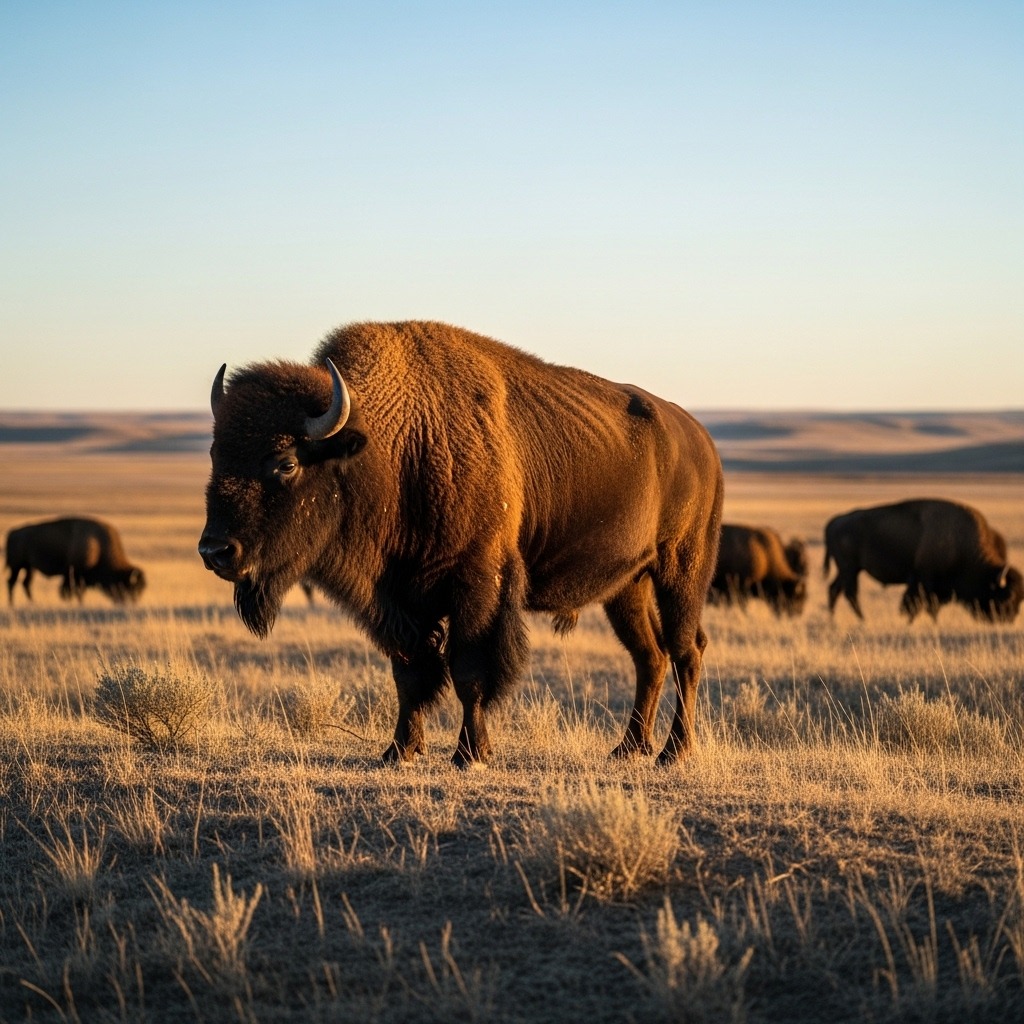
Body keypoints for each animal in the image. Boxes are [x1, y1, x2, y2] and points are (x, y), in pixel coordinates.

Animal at [6, 517, 146, 605]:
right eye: (131, 588)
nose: (131, 603)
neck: (99, 546)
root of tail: (13, 533)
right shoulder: (75, 575)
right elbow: (74, 591)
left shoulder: (73, 576)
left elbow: (72, 591)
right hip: (17, 566)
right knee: (12, 582)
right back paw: (12, 604)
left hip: (29, 567)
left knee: (26, 583)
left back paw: (32, 603)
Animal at [200, 320, 723, 766]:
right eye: (215, 454)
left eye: (286, 462)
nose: (215, 552)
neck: (396, 445)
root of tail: (700, 439)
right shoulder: (399, 601)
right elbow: (409, 675)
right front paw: (398, 752)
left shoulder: (477, 585)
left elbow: (468, 671)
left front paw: (470, 754)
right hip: (627, 586)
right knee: (649, 656)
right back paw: (628, 748)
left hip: (682, 569)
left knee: (686, 650)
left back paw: (674, 752)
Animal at [824, 498, 1023, 623]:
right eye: (1007, 596)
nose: (1009, 618)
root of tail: (836, 521)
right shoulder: (924, 582)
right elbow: (919, 605)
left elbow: (925, 606)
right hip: (850, 569)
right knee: (850, 593)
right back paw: (862, 620)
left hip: (847, 570)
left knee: (834, 589)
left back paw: (834, 620)